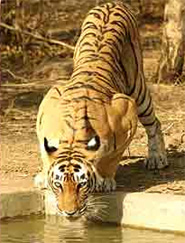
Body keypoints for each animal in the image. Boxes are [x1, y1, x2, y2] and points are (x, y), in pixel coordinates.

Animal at [35, 1, 168, 218]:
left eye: (81, 185)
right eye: (58, 185)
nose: (69, 213)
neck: (72, 138)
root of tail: (112, 3)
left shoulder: (127, 112)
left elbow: (112, 157)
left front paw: (104, 180)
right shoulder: (49, 101)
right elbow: (45, 153)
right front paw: (42, 176)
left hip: (138, 91)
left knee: (154, 123)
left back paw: (157, 158)